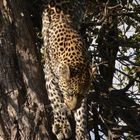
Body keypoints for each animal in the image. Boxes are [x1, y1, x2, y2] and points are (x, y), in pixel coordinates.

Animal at [41, 0, 91, 139]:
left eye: (82, 95)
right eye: (69, 94)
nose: (72, 109)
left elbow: (82, 112)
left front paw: (82, 132)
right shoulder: (49, 74)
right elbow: (56, 100)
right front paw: (62, 126)